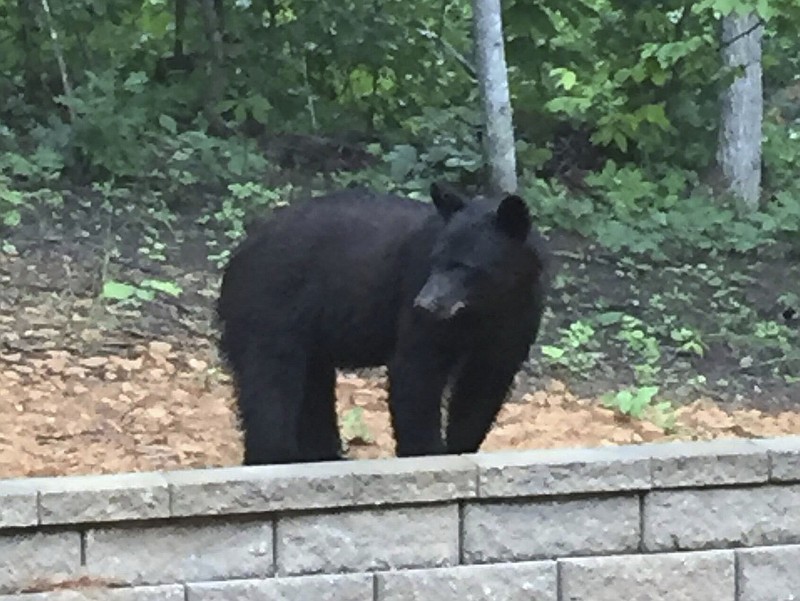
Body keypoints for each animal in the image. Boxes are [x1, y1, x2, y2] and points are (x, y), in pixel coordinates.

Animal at [216, 182, 552, 464]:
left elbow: (484, 386)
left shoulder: (517, 321)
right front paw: (427, 452)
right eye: (436, 259)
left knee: (313, 389)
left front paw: (459, 448)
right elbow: (416, 370)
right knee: (270, 383)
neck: (487, 308)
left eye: (465, 266)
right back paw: (274, 456)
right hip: (269, 309)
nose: (425, 304)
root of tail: (237, 256)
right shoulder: (422, 303)